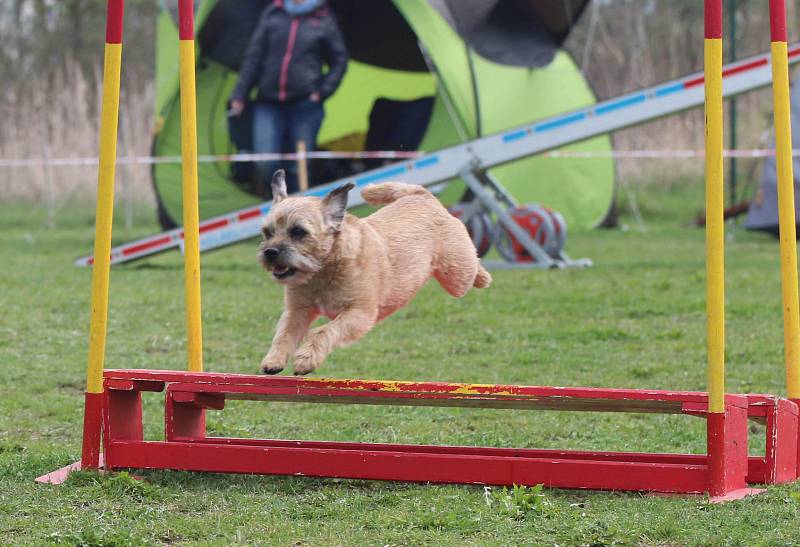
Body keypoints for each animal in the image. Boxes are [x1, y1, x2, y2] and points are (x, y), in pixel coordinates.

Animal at [260, 170, 490, 376]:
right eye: (267, 232)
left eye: (298, 232)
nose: (270, 252)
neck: (322, 272)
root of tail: (421, 196)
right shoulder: (297, 312)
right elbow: (284, 334)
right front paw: (274, 360)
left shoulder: (359, 314)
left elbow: (324, 331)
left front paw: (305, 359)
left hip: (457, 275)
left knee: (472, 264)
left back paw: (483, 277)